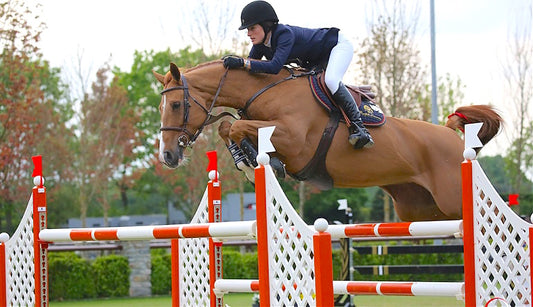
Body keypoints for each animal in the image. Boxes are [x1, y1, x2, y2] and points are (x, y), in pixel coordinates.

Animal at [152, 60, 500, 224]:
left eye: (176, 105)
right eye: (160, 107)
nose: (168, 156)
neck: (264, 90)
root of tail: (451, 134)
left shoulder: (294, 139)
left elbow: (234, 125)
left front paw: (261, 162)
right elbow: (229, 126)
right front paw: (247, 161)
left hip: (453, 199)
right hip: (419, 210)